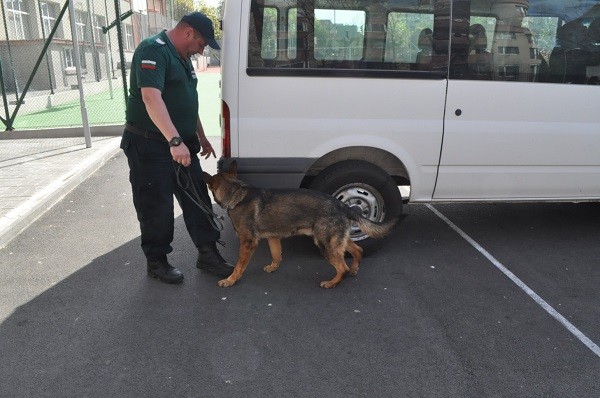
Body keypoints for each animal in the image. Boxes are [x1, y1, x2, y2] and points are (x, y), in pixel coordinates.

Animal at [204, 162, 406, 290]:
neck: (236, 193)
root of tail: (343, 205)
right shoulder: (273, 237)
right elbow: (276, 255)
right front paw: (273, 267)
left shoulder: (247, 243)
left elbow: (239, 265)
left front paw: (231, 280)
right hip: (337, 241)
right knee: (358, 251)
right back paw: (354, 270)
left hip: (325, 244)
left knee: (343, 268)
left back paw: (332, 283)